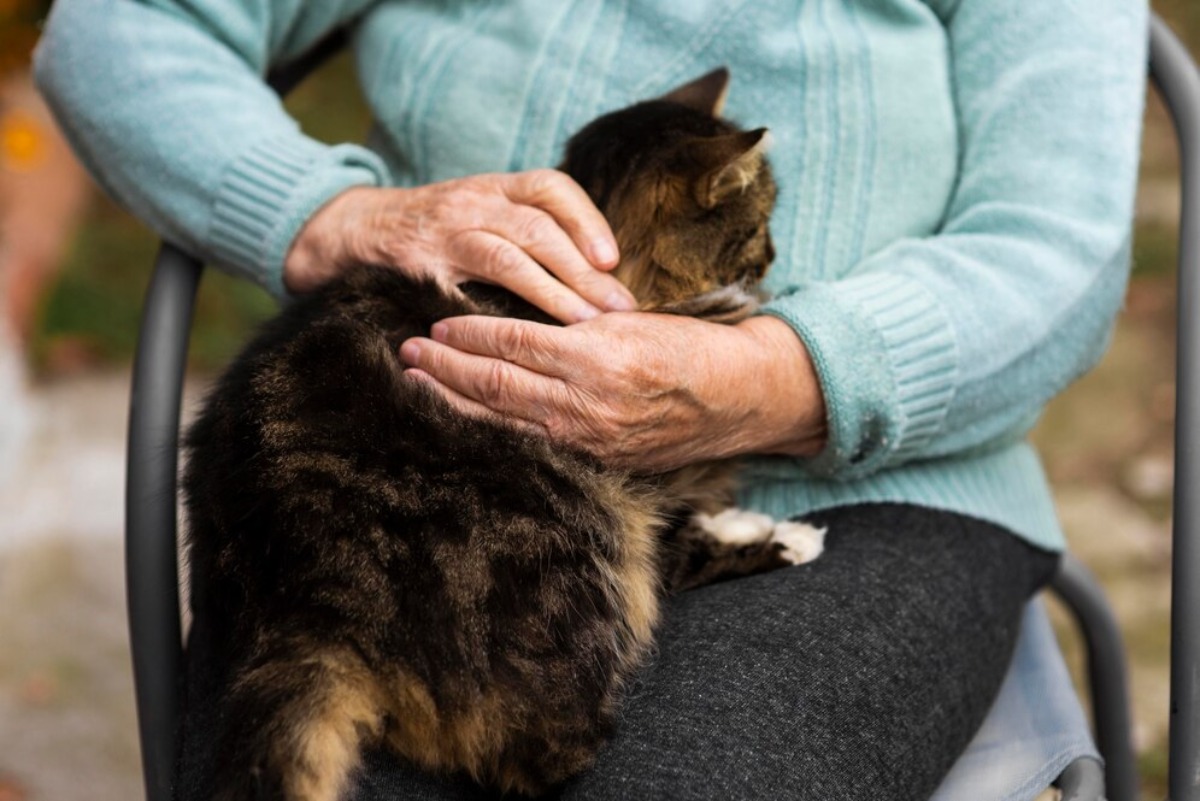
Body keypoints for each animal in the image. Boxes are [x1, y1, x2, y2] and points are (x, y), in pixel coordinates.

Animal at [182, 68, 825, 801]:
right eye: (759, 224)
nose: (774, 255)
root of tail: (304, 601)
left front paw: (742, 519)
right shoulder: (634, 468)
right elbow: (681, 543)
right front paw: (780, 535)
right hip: (578, 528)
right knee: (526, 751)